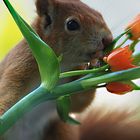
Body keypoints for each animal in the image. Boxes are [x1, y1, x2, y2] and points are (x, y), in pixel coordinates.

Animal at [0, 0, 140, 140]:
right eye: (72, 24)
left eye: (99, 15)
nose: (108, 40)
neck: (63, 64)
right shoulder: (19, 68)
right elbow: (7, 93)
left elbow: (79, 103)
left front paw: (95, 64)